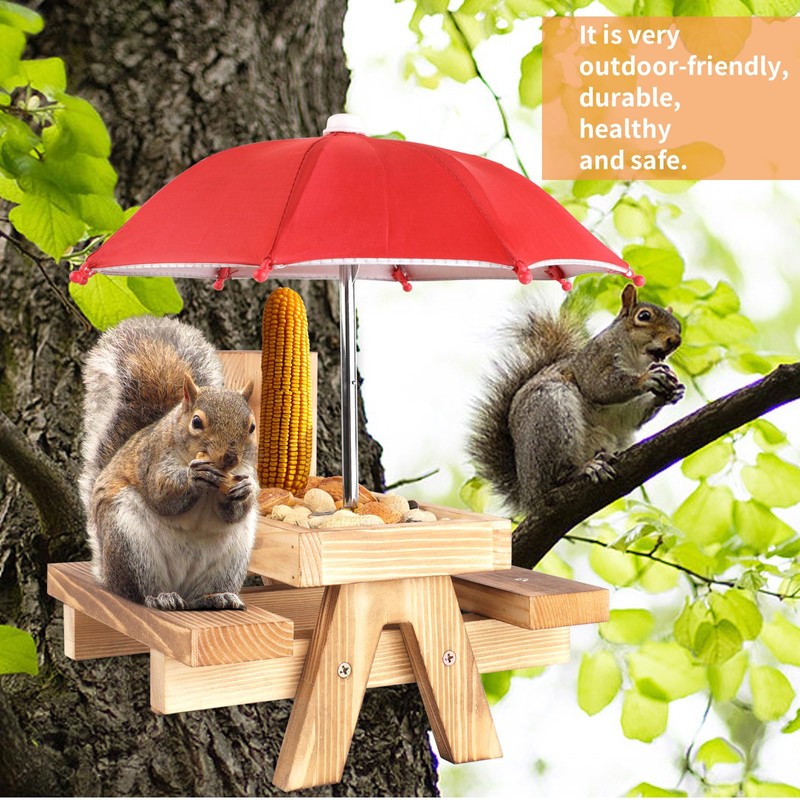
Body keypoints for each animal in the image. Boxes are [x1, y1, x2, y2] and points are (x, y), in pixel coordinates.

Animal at [79, 315, 259, 611]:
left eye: (252, 427)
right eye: (196, 422)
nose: (230, 457)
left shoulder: (246, 469)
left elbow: (236, 511)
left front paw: (244, 491)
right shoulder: (153, 459)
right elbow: (162, 494)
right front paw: (193, 478)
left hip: (231, 558)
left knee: (200, 596)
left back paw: (217, 597)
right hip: (128, 542)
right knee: (138, 590)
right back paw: (160, 597)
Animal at [467, 284, 684, 517]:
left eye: (678, 326)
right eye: (644, 316)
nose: (675, 340)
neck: (637, 360)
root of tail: (528, 495)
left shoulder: (625, 410)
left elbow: (631, 415)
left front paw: (669, 393)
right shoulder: (594, 360)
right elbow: (599, 386)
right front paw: (646, 379)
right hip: (550, 414)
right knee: (558, 476)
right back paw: (584, 469)